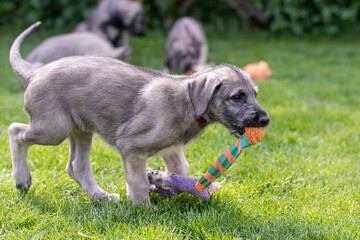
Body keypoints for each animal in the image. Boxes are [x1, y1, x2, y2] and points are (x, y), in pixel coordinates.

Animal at [8, 22, 268, 205]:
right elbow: (138, 181)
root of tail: (34, 71)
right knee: (16, 131)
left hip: (81, 129)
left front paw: (158, 178)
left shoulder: (172, 150)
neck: (186, 103)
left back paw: (101, 196)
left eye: (255, 94)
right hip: (54, 128)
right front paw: (143, 208)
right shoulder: (131, 147)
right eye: (237, 97)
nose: (265, 120)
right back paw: (22, 180)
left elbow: (179, 170)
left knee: (77, 166)